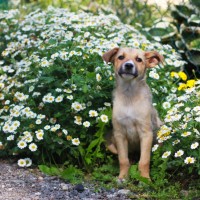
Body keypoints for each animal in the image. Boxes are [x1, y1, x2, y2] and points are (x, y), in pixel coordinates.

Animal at [102, 47, 163, 180]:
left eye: (139, 59)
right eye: (120, 57)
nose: (129, 65)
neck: (129, 95)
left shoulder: (146, 134)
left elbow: (144, 161)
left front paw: (145, 179)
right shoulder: (119, 134)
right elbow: (123, 160)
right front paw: (122, 177)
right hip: (111, 142)